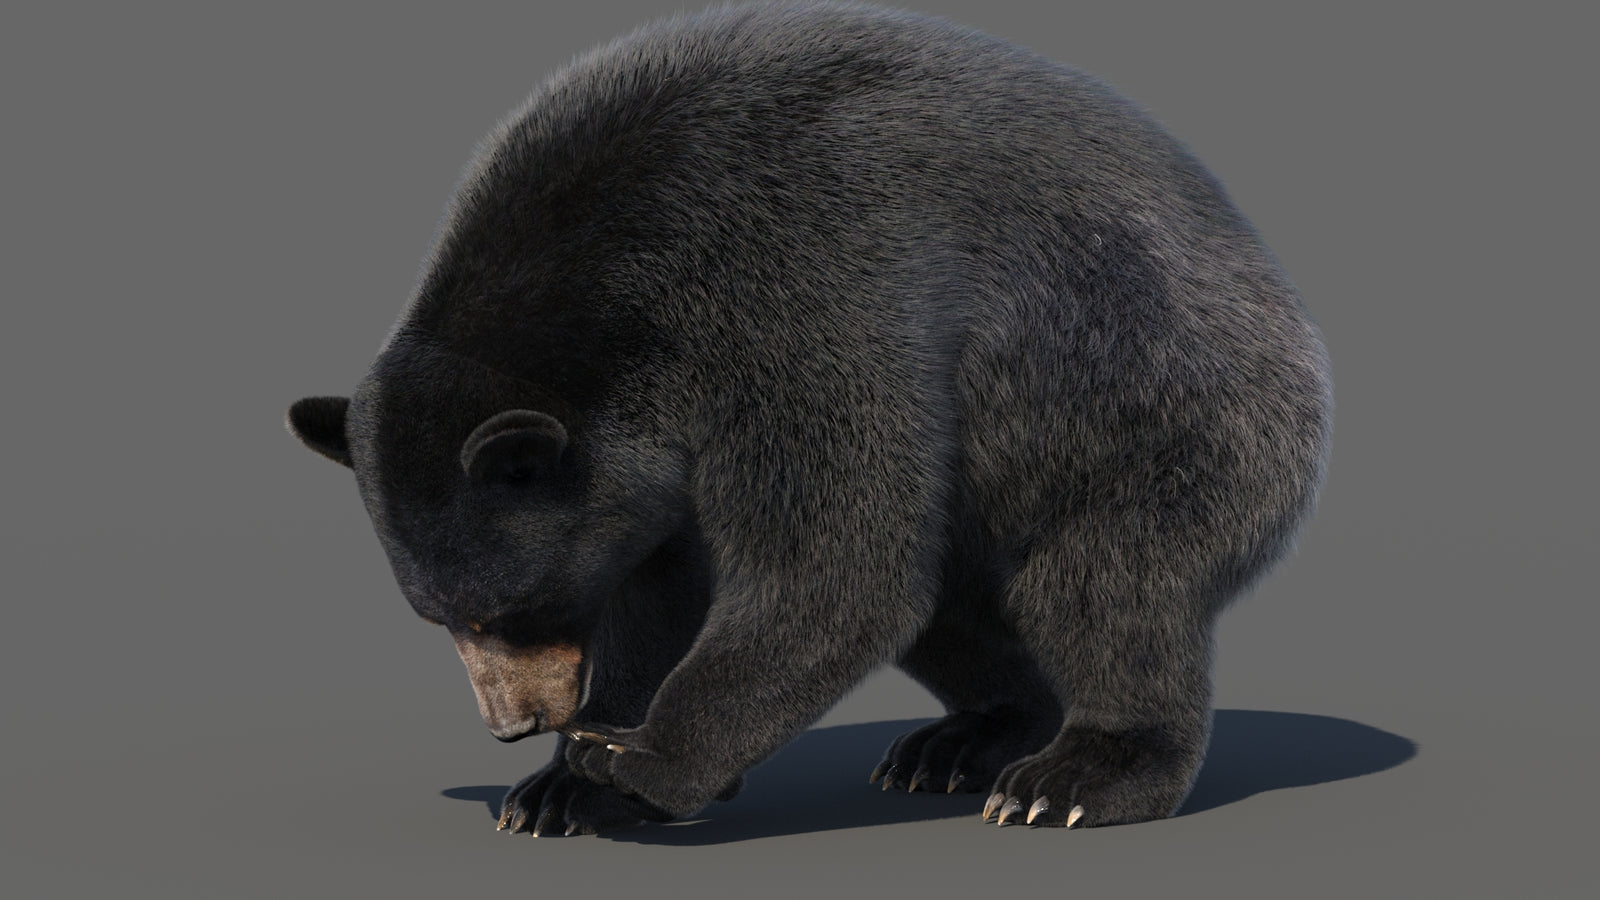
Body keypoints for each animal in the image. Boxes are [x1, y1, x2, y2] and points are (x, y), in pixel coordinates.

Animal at [288, 1, 1332, 836]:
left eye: (507, 610)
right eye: (437, 617)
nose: (515, 724)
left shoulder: (795, 294)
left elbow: (832, 564)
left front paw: (628, 759)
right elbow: (662, 579)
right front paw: (557, 789)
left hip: (1164, 409)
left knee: (1101, 583)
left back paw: (1072, 777)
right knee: (950, 605)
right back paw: (965, 741)